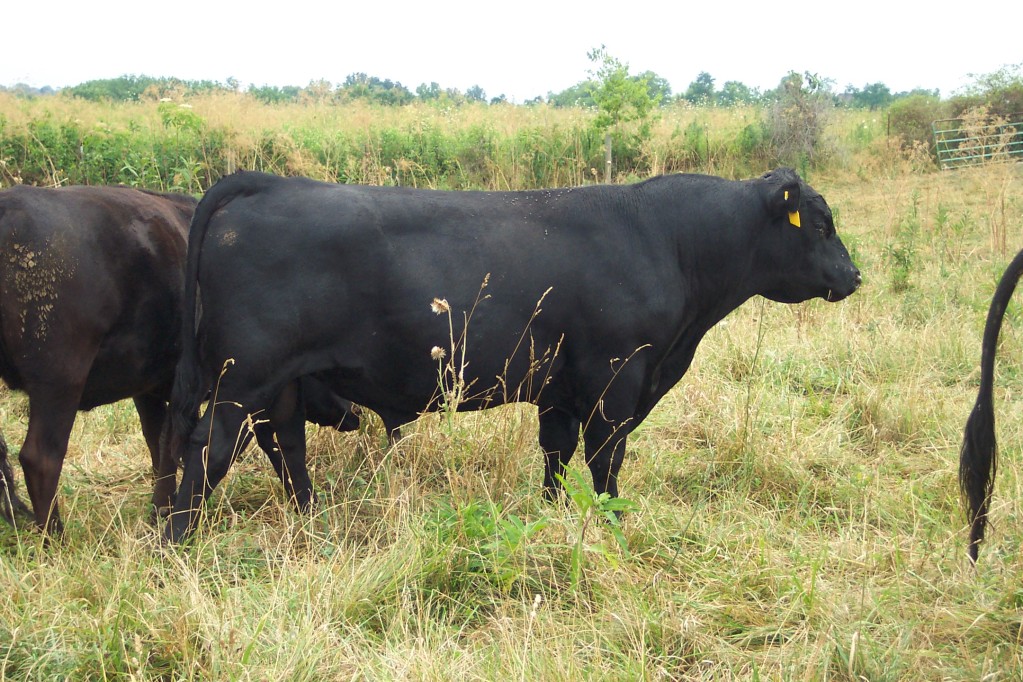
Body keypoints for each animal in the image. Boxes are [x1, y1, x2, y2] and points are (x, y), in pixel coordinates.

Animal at [0, 184, 360, 535]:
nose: (352, 412)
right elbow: (179, 444)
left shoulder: (150, 387)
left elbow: (158, 444)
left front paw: (161, 508)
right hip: (60, 381)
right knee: (40, 457)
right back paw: (54, 536)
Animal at [163, 167, 859, 539]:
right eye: (822, 225)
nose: (854, 277)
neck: (667, 240)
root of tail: (267, 183)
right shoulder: (616, 379)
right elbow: (606, 462)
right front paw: (611, 525)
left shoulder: (561, 390)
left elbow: (556, 456)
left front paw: (552, 518)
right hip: (239, 380)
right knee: (207, 452)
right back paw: (176, 542)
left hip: (275, 383)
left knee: (285, 446)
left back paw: (312, 522)